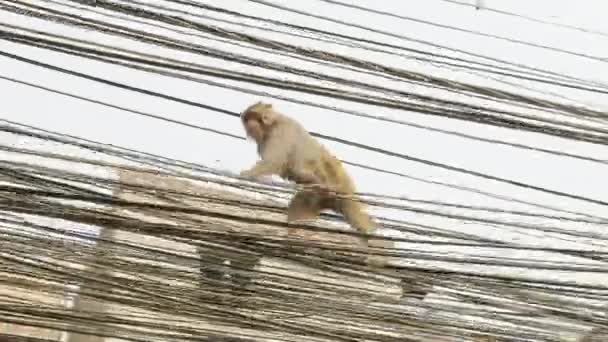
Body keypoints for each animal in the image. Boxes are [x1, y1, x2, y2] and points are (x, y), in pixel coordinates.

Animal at [238, 100, 376, 244]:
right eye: (247, 118)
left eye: (252, 116)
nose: (249, 123)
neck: (270, 126)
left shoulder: (280, 131)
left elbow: (275, 161)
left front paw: (247, 174)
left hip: (335, 177)